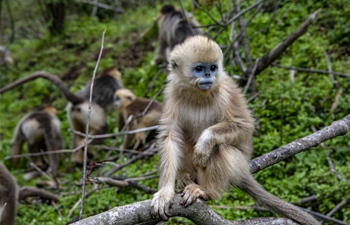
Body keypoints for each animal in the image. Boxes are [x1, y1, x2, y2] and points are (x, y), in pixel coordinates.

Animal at [150, 35, 320, 225]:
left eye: (213, 68)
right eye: (199, 69)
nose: (208, 75)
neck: (199, 95)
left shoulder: (227, 90)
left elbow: (244, 126)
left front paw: (205, 141)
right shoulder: (171, 93)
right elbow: (170, 137)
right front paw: (165, 192)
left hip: (237, 161)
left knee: (219, 147)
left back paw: (207, 191)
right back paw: (186, 176)